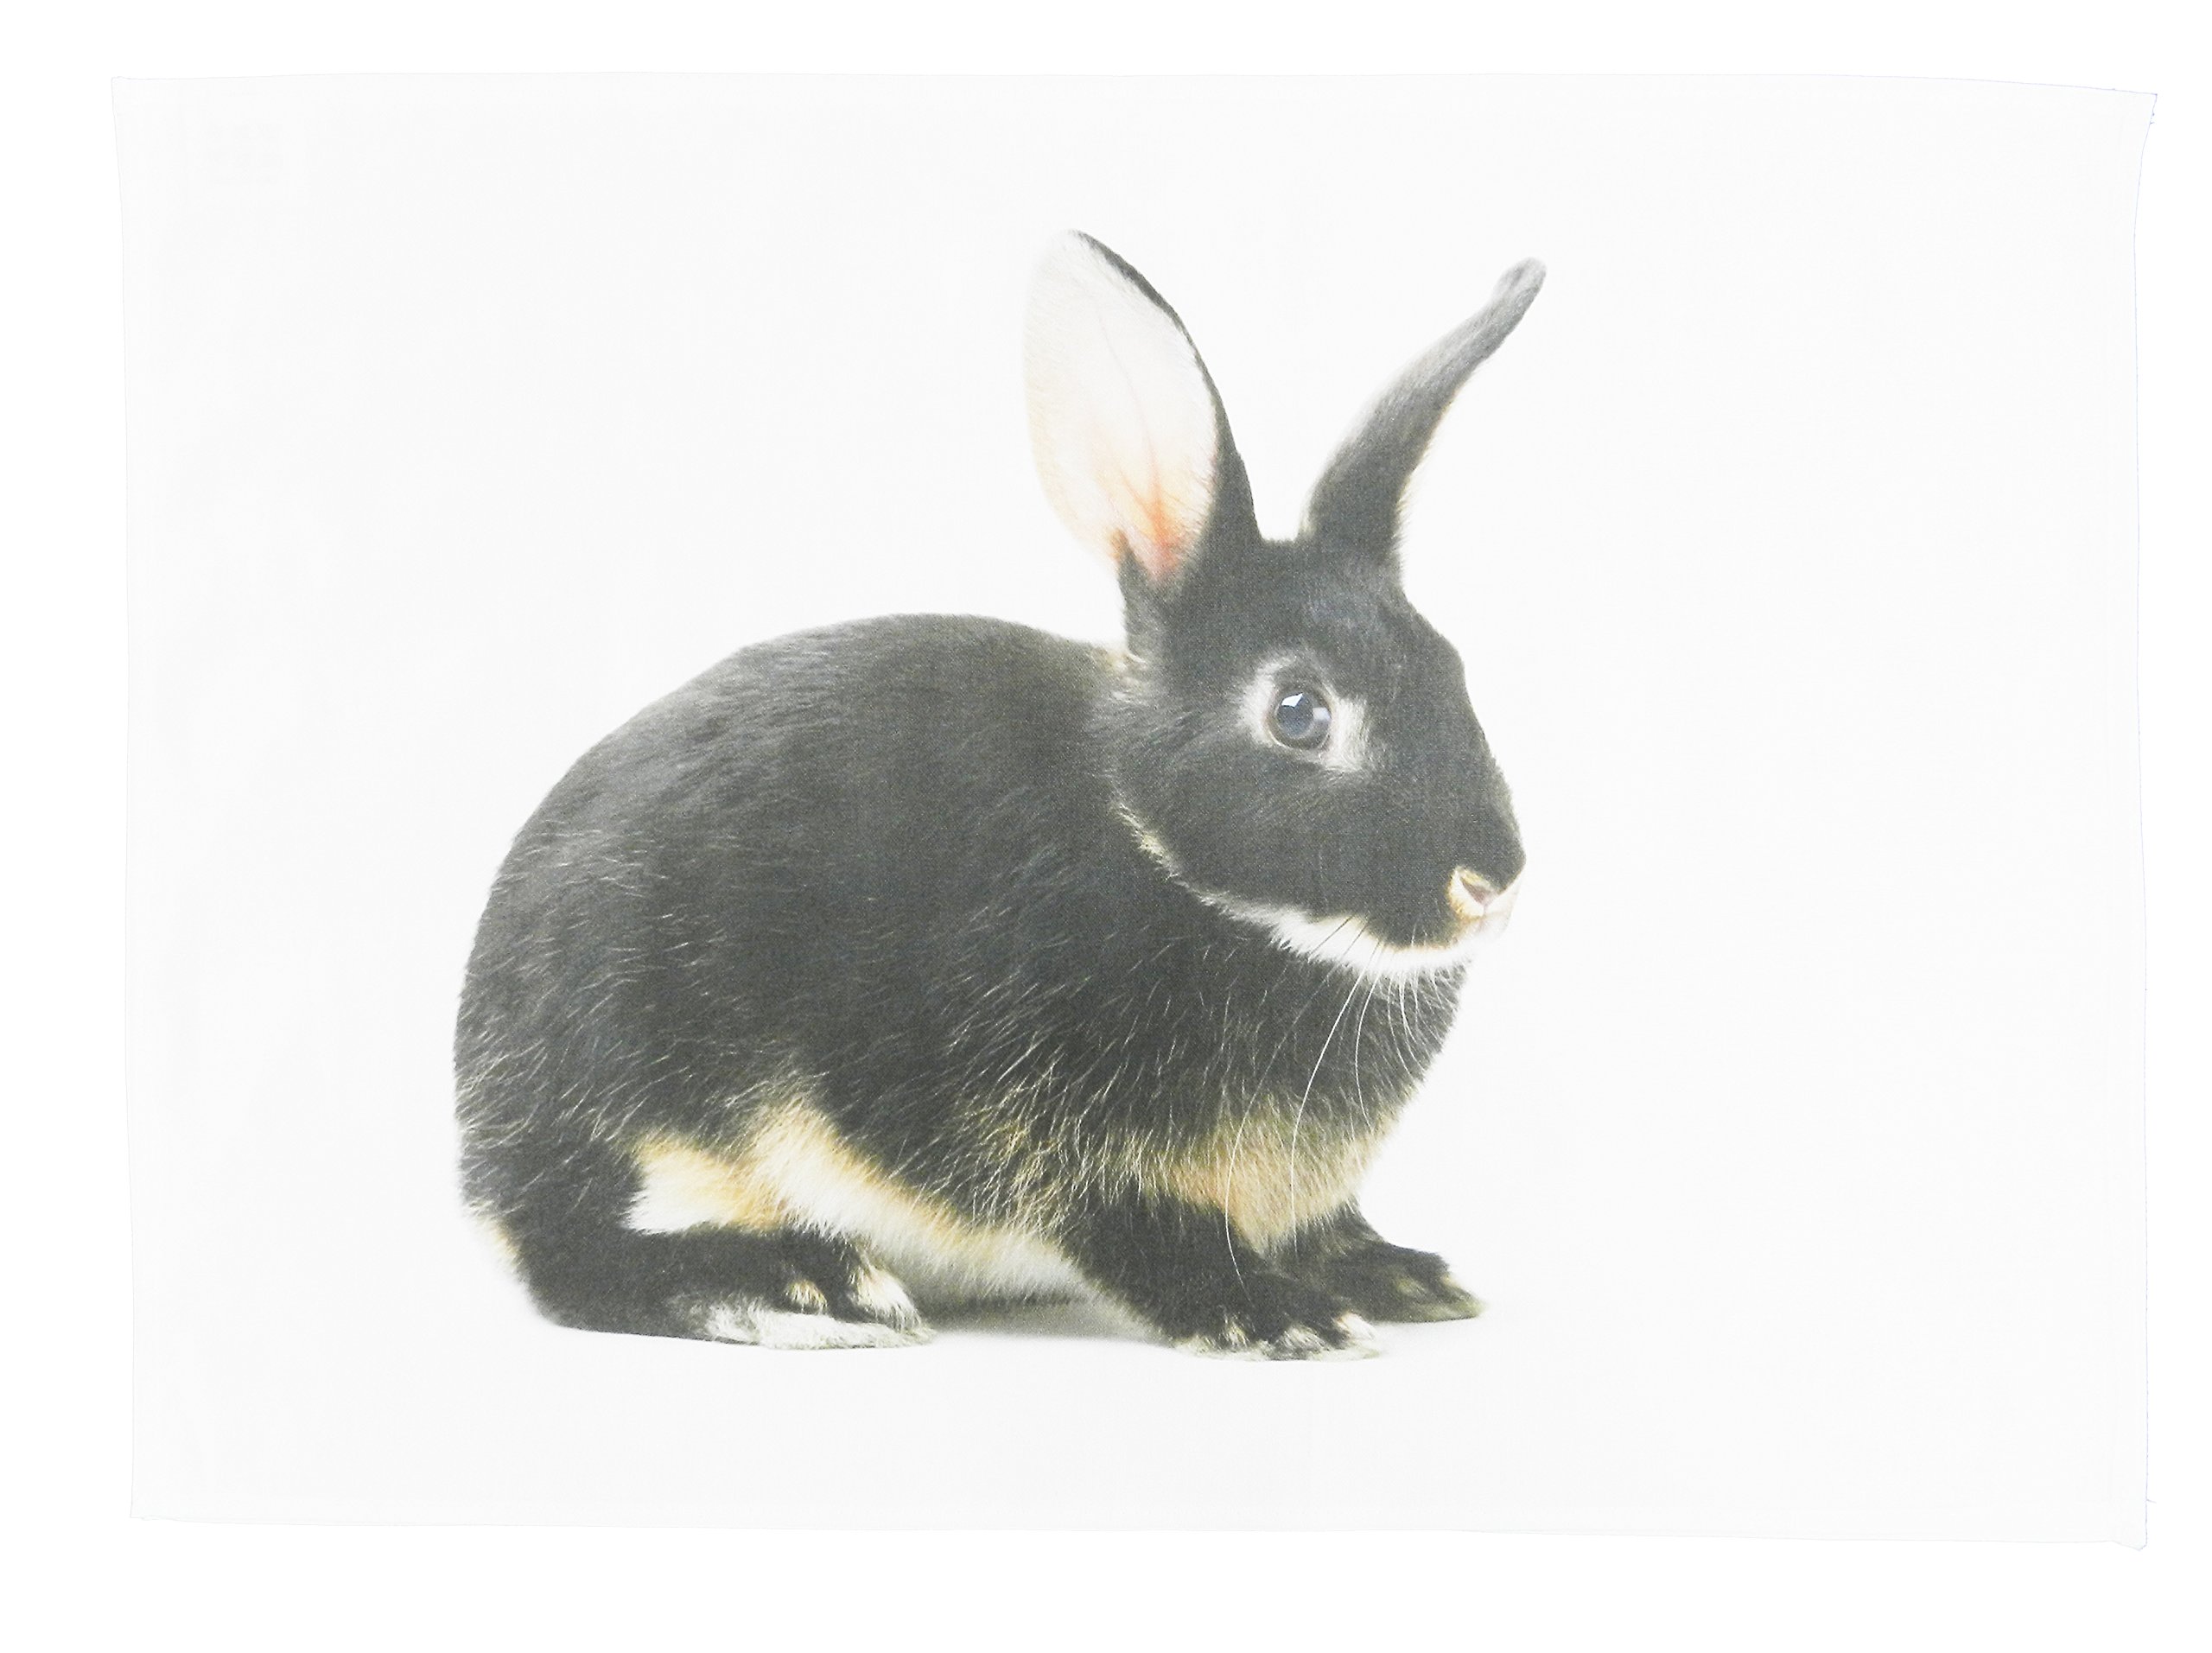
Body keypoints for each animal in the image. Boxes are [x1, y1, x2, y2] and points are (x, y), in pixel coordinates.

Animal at [456, 232, 1540, 1360]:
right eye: (1298, 711)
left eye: (1452, 666)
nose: (1492, 881)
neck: (1157, 849)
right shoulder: (1061, 1136)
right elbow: (1141, 1233)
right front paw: (1276, 1313)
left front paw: (1396, 1272)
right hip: (641, 1083)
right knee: (576, 1256)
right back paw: (808, 1285)